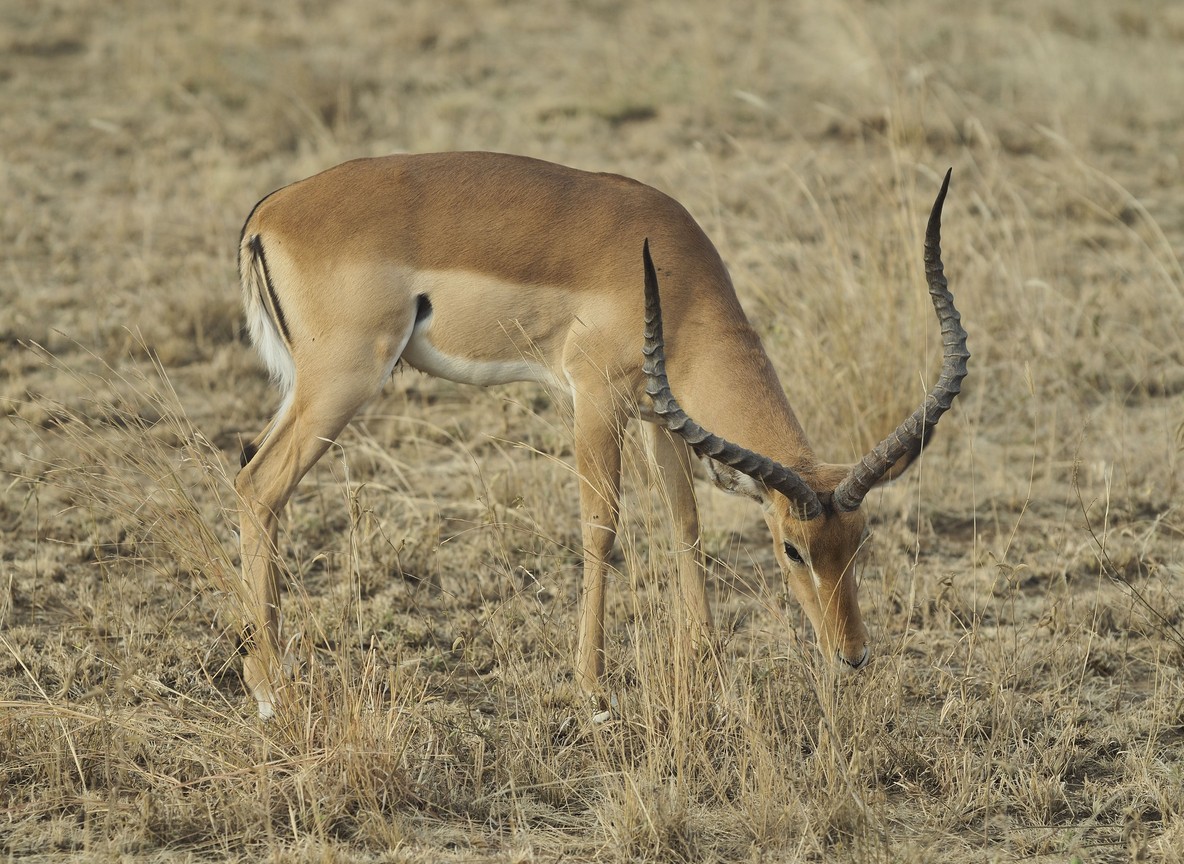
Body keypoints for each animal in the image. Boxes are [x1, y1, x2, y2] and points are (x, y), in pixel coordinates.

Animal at [234, 152, 968, 719]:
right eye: (792, 549)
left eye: (860, 539)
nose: (852, 656)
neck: (673, 276)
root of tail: (268, 213)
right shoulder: (593, 399)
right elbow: (601, 526)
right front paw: (593, 691)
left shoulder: (659, 417)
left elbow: (685, 523)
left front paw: (710, 670)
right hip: (342, 384)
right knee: (258, 486)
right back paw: (272, 690)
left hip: (308, 391)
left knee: (249, 475)